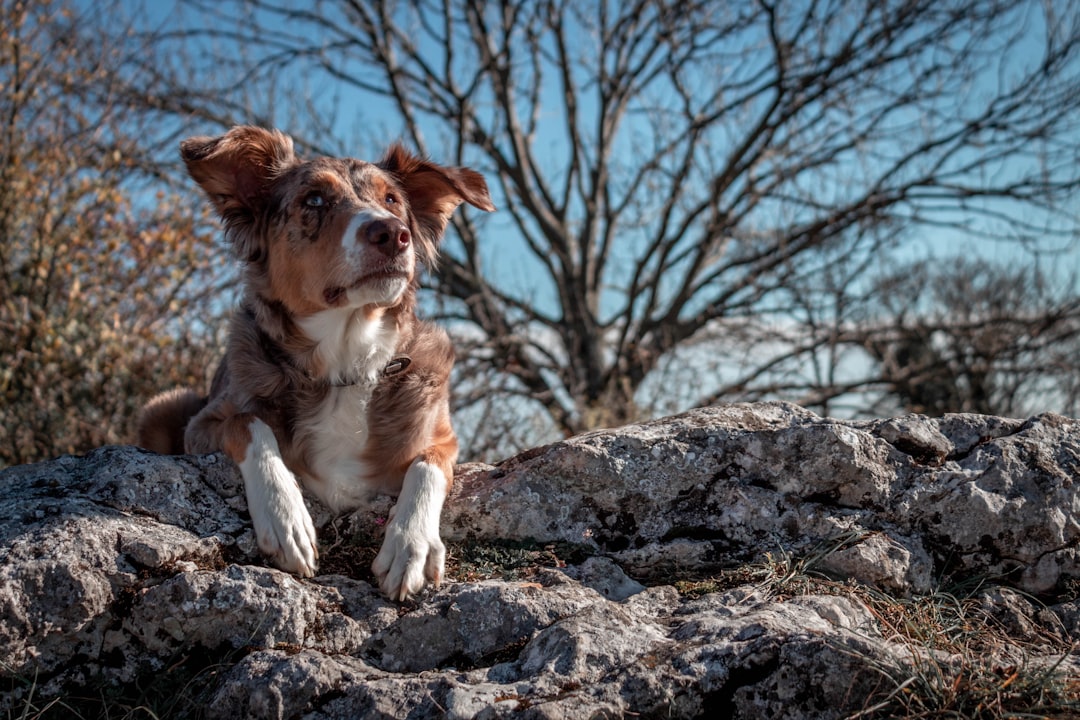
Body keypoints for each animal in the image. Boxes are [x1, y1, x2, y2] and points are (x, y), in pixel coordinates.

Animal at [135, 126, 494, 600]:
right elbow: (248, 423)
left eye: (392, 199)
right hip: (161, 406)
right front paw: (286, 518)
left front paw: (410, 544)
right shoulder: (203, 425)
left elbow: (426, 466)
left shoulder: (443, 437)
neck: (346, 364)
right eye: (315, 199)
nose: (393, 233)